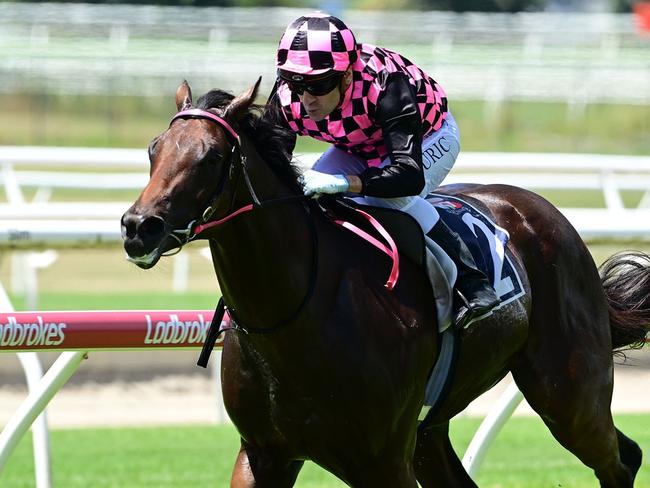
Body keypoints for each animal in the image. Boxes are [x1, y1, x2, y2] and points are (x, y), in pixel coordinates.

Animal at [121, 78, 648, 486]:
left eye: (211, 157)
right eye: (153, 149)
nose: (138, 226)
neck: (295, 313)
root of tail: (547, 213)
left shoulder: (381, 462)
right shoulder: (263, 453)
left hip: (568, 395)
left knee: (621, 459)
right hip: (431, 429)